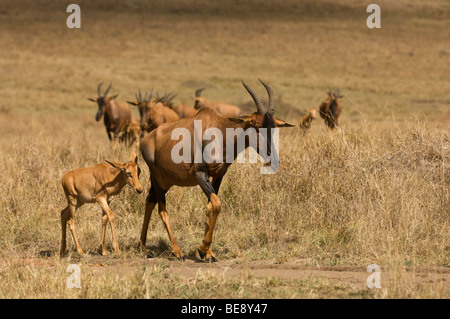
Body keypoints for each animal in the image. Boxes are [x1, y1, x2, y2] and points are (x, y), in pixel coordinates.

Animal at [141, 78, 296, 262]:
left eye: (273, 126)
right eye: (256, 125)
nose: (272, 158)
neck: (219, 132)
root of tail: (145, 139)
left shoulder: (218, 176)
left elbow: (210, 207)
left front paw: (207, 253)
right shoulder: (200, 174)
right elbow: (217, 204)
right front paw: (202, 249)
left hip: (166, 182)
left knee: (150, 200)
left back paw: (143, 248)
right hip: (157, 179)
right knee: (161, 209)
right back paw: (177, 252)